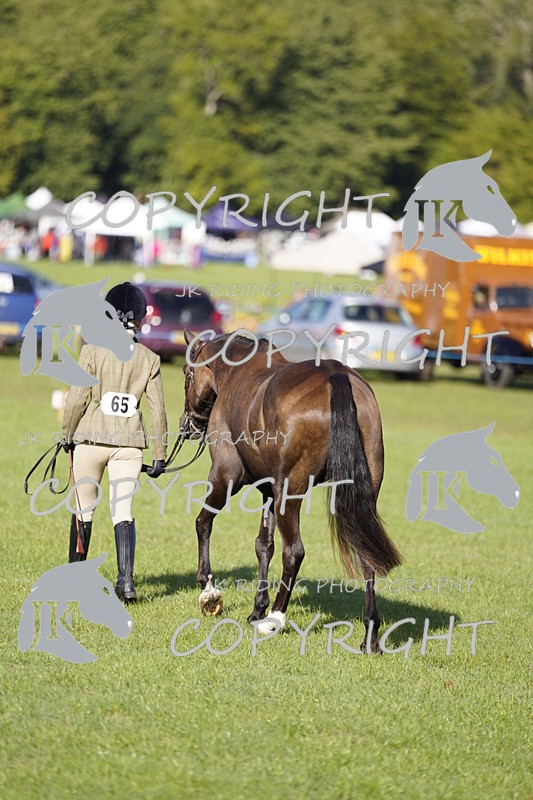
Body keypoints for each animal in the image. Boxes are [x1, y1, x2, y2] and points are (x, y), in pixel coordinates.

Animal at [179, 330, 402, 652]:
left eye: (187, 373)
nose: (188, 426)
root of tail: (337, 375)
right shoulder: (269, 490)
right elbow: (263, 545)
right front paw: (257, 607)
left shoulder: (225, 476)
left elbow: (203, 522)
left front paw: (209, 592)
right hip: (362, 495)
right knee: (366, 551)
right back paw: (369, 634)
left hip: (288, 493)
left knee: (294, 551)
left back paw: (274, 619)